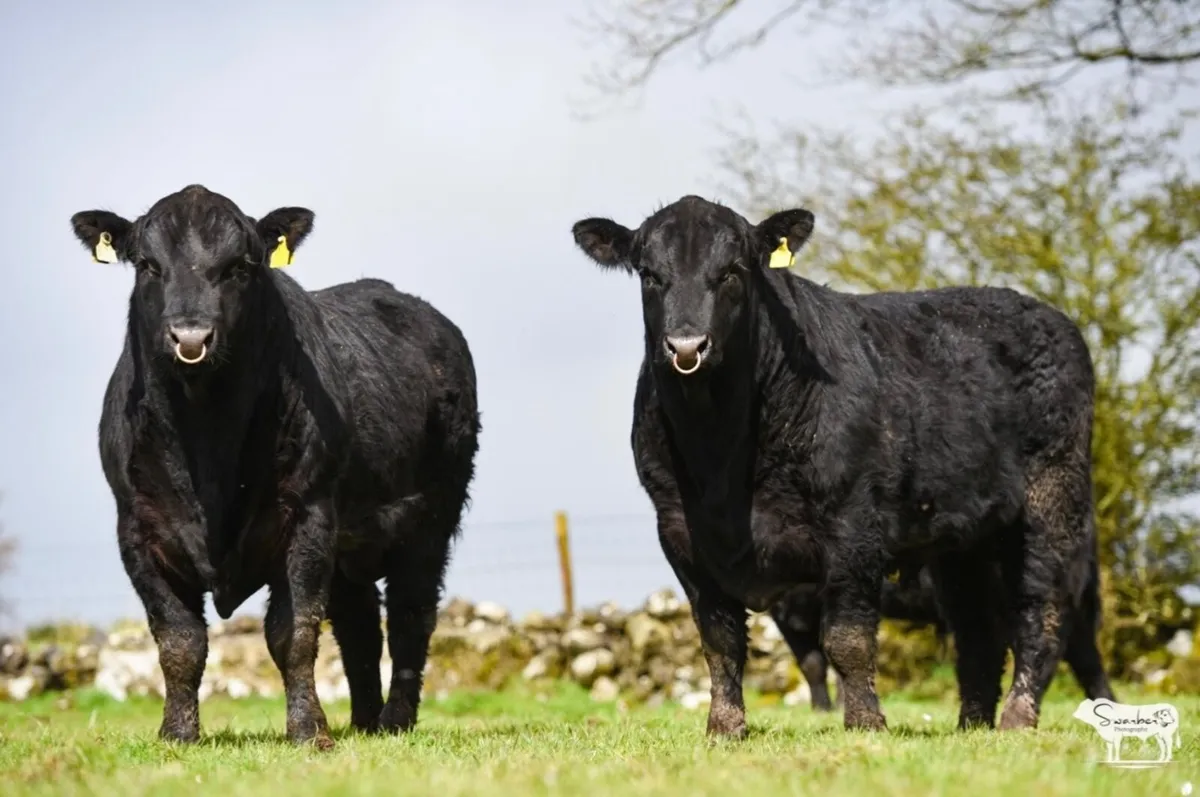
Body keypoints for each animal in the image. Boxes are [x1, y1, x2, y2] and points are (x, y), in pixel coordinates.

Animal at [70, 184, 481, 749]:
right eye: (149, 265)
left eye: (240, 266)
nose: (191, 337)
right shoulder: (136, 528)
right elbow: (179, 639)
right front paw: (177, 733)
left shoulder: (308, 517)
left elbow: (293, 632)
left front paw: (309, 730)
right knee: (358, 625)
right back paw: (363, 721)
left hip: (431, 518)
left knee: (410, 615)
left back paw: (394, 720)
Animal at [570, 195, 1107, 737]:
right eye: (650, 275)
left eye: (732, 271)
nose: (686, 346)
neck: (720, 454)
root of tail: (1050, 317)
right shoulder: (681, 533)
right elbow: (720, 640)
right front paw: (724, 727)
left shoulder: (853, 524)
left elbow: (847, 639)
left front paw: (866, 722)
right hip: (963, 537)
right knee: (977, 630)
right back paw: (970, 725)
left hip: (1051, 501)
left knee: (1043, 615)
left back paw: (1018, 718)